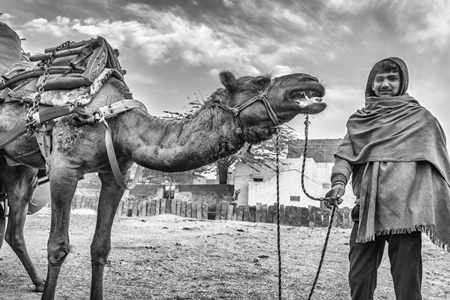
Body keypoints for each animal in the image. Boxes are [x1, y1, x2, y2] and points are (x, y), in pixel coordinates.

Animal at [0, 69, 324, 298]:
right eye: (260, 81)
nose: (313, 81)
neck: (111, 118)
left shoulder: (114, 175)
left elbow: (100, 248)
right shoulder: (64, 168)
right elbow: (58, 247)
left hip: (19, 170)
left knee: (13, 229)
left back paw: (37, 282)